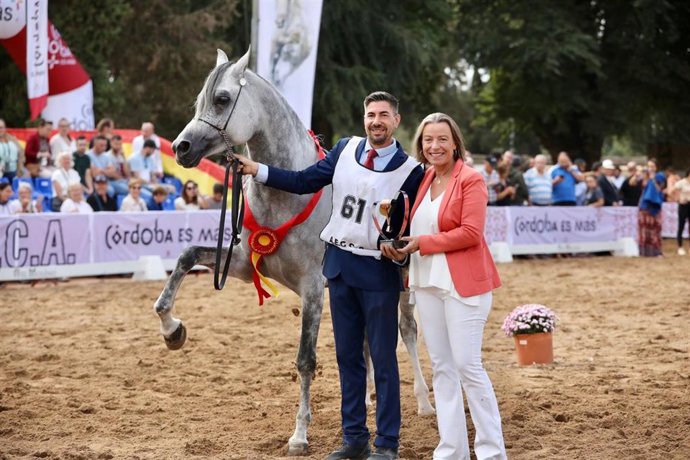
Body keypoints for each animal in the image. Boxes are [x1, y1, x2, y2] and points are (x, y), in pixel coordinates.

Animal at [153, 48, 434, 456]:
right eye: (199, 101)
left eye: (222, 99)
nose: (180, 148)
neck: (287, 195)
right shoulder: (242, 264)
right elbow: (186, 256)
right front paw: (172, 329)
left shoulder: (313, 289)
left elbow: (305, 360)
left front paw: (299, 434)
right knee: (368, 342)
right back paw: (369, 396)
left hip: (401, 284)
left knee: (407, 332)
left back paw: (425, 402)